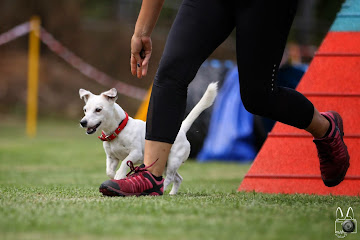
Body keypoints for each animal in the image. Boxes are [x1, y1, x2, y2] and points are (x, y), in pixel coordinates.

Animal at [79, 82, 217, 195]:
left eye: (98, 109)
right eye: (85, 110)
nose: (83, 122)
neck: (118, 130)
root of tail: (181, 130)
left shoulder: (135, 153)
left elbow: (125, 162)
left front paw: (119, 175)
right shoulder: (111, 158)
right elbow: (109, 171)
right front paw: (115, 177)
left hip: (173, 161)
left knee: (170, 178)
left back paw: (162, 189)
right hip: (165, 164)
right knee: (178, 178)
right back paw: (172, 193)